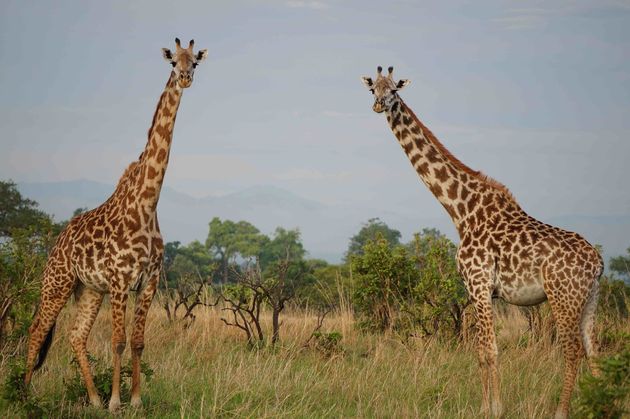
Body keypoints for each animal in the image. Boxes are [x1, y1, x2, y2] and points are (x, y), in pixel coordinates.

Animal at [24, 37, 210, 412]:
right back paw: (22, 396)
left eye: (195, 62)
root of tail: (56, 242)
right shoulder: (121, 280)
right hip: (57, 283)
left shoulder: (149, 281)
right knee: (36, 333)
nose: (185, 78)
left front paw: (134, 400)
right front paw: (115, 402)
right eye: (173, 62)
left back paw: (92, 399)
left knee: (75, 335)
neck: (148, 202)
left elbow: (137, 341)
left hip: (89, 289)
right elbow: (118, 341)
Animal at [362, 67, 604, 418]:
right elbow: (480, 351)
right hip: (590, 300)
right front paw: (484, 405)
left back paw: (561, 411)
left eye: (394, 89)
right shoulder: (480, 290)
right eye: (373, 90)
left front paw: (496, 408)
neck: (461, 210)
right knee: (594, 350)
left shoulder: (478, 284)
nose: (379, 105)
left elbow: (489, 350)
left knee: (572, 351)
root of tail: (599, 263)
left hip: (563, 297)